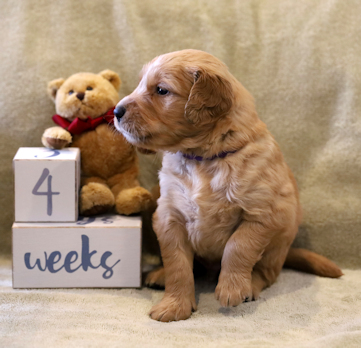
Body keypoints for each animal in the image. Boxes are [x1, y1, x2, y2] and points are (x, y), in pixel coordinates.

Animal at [114, 49, 342, 320]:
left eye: (161, 90)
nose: (115, 111)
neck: (204, 159)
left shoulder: (263, 213)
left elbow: (238, 246)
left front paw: (232, 288)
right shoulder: (169, 215)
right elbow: (177, 264)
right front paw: (173, 306)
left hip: (280, 243)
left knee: (266, 273)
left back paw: (250, 287)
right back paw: (160, 275)